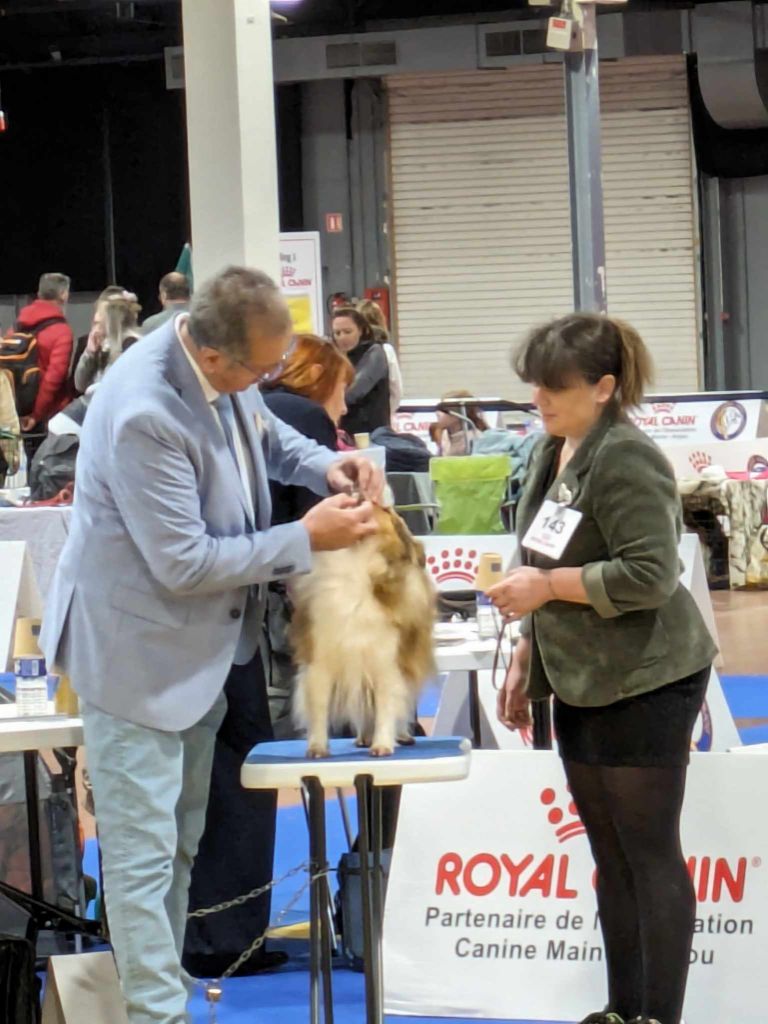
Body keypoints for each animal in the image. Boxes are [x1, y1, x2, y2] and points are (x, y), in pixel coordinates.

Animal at [290, 505, 436, 758]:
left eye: (384, 509)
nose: (361, 495)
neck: (356, 562)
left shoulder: (386, 664)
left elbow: (387, 707)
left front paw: (382, 745)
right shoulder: (320, 663)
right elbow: (318, 708)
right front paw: (317, 748)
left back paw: (400, 735)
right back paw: (364, 738)